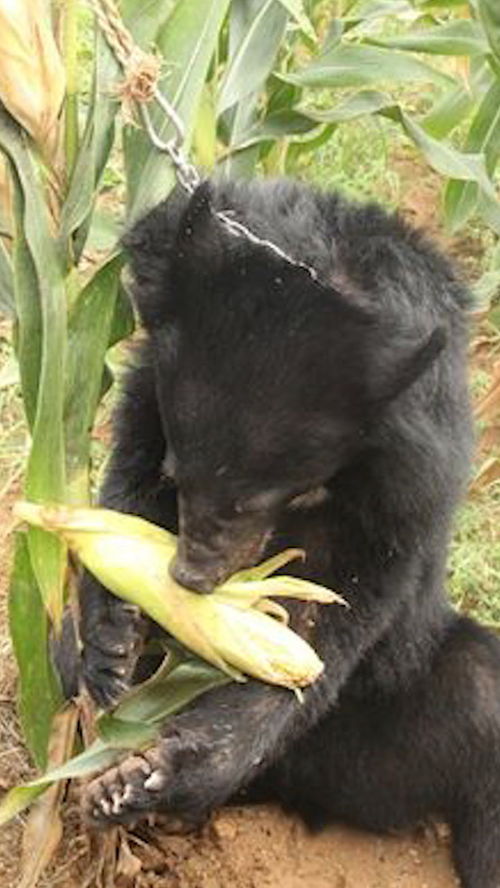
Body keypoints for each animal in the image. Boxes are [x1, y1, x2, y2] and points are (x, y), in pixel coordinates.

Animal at [79, 178, 500, 888]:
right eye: (178, 474)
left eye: (259, 500)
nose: (189, 579)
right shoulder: (150, 391)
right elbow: (127, 489)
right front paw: (106, 640)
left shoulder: (404, 489)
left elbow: (320, 624)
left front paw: (162, 773)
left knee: (478, 694)